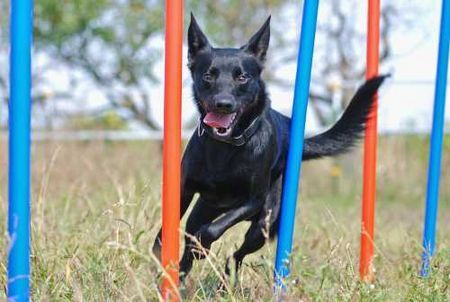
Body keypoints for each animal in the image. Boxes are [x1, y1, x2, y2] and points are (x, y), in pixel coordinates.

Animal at [153, 14, 384, 278]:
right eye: (208, 76)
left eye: (241, 77)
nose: (223, 104)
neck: (226, 147)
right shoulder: (184, 189)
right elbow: (169, 227)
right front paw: (161, 251)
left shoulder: (252, 201)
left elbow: (213, 229)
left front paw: (202, 244)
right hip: (203, 210)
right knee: (194, 241)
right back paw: (181, 274)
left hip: (263, 225)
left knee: (236, 255)